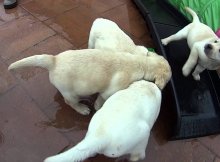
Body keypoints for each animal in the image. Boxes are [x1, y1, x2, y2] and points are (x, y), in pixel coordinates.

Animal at [8, 49, 170, 115]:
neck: (142, 64)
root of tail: (54, 60)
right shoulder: (109, 91)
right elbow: (101, 99)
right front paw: (98, 107)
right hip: (72, 93)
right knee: (70, 102)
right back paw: (82, 109)